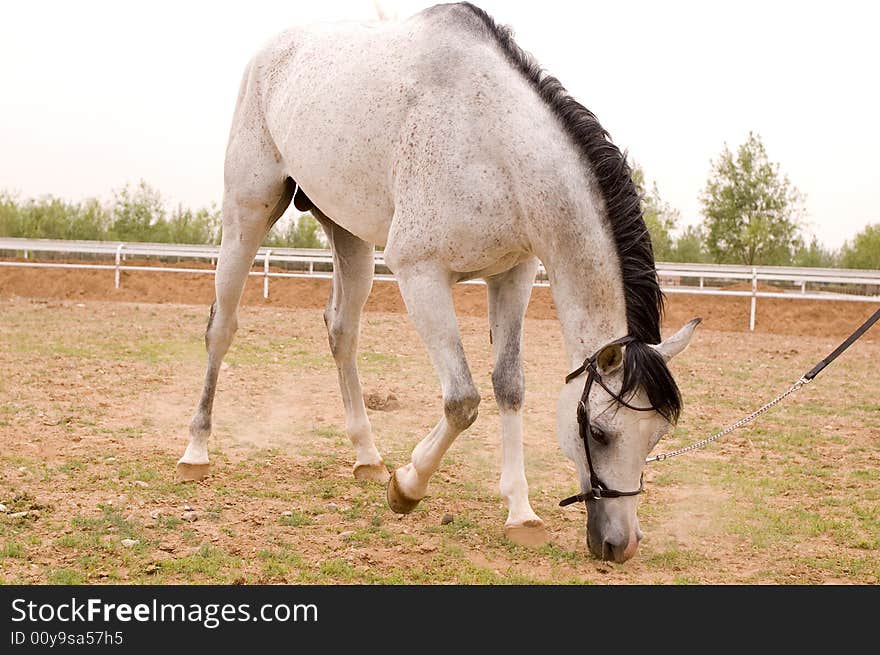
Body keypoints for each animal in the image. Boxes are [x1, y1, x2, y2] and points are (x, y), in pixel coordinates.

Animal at [177, 1, 700, 564]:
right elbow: (462, 400)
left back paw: (367, 456)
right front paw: (407, 486)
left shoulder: (513, 276)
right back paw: (196, 453)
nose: (620, 545)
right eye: (599, 433)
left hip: (350, 238)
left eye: (656, 435)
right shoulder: (420, 274)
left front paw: (521, 512)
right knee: (222, 327)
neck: (493, 143)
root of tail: (272, 53)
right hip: (246, 214)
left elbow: (508, 387)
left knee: (342, 333)